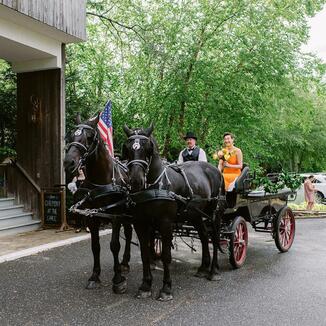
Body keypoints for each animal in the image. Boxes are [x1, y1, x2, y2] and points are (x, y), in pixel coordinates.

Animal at [64, 114, 132, 292]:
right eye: (71, 135)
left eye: (89, 137)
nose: (68, 163)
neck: (102, 181)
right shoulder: (92, 217)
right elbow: (95, 246)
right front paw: (95, 276)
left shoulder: (115, 216)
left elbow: (114, 245)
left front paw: (117, 279)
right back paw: (124, 263)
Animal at [122, 124, 224, 300]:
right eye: (127, 148)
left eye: (148, 148)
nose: (135, 181)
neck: (156, 185)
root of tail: (214, 169)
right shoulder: (140, 223)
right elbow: (145, 254)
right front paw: (145, 286)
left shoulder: (166, 223)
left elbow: (166, 255)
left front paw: (166, 288)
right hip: (195, 215)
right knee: (204, 236)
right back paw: (203, 268)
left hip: (213, 213)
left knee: (215, 237)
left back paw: (213, 271)